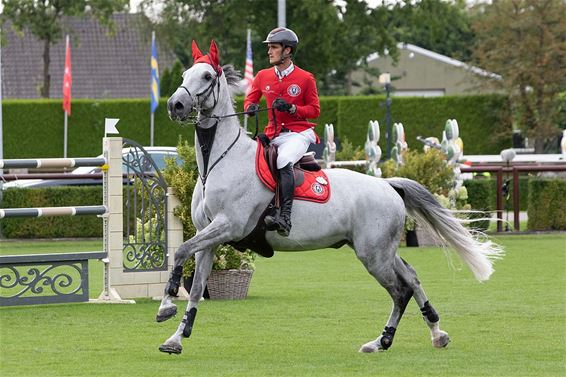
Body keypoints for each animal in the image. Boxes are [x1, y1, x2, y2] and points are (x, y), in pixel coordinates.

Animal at [154, 41, 502, 356]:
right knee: (412, 278)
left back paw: (384, 340)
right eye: (185, 74)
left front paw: (166, 305)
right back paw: (433, 333)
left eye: (207, 76)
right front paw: (176, 337)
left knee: (400, 291)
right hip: (380, 250)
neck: (219, 161)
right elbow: (195, 285)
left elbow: (180, 252)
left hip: (373, 255)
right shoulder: (209, 237)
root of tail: (388, 185)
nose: (175, 105)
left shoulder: (229, 226)